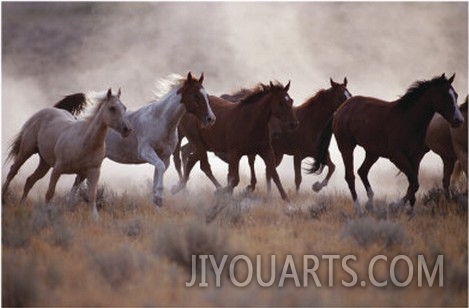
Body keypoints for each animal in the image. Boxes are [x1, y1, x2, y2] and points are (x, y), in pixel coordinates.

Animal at [2, 89, 131, 219]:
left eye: (124, 108)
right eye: (112, 108)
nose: (127, 129)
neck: (84, 142)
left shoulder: (91, 172)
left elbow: (91, 197)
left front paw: (95, 218)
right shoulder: (57, 169)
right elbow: (50, 193)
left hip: (44, 164)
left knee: (30, 180)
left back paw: (22, 206)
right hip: (26, 151)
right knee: (13, 172)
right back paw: (4, 198)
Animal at [68, 72, 215, 207]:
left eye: (206, 95)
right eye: (196, 95)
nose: (211, 119)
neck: (160, 120)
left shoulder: (165, 156)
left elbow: (157, 176)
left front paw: (157, 201)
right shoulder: (145, 151)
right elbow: (159, 169)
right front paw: (159, 197)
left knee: (78, 180)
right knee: (77, 181)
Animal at [170, 80, 298, 200]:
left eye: (291, 101)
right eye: (280, 102)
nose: (293, 124)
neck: (250, 120)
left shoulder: (265, 150)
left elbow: (274, 175)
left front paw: (287, 201)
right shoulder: (234, 153)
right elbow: (234, 179)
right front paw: (224, 192)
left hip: (206, 145)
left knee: (191, 160)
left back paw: (179, 187)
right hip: (198, 143)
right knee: (203, 165)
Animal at [308, 74, 464, 217]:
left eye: (456, 95)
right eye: (445, 96)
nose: (459, 120)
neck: (408, 120)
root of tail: (339, 110)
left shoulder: (416, 157)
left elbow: (413, 184)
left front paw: (409, 210)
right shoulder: (397, 157)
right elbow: (414, 182)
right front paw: (395, 206)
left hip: (373, 152)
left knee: (362, 171)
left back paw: (370, 204)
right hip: (347, 147)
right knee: (350, 176)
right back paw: (358, 208)